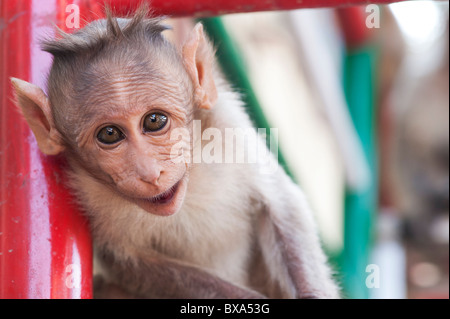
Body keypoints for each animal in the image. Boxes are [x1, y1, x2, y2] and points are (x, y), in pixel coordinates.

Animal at [11, 6, 338, 300]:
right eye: (110, 134)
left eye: (154, 121)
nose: (149, 173)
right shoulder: (88, 194)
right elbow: (132, 265)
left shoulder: (229, 126)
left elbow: (282, 202)